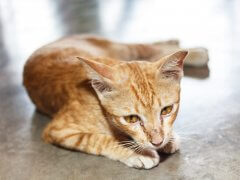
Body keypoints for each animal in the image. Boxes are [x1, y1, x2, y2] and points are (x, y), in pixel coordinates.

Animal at [23, 34, 208, 169]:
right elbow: (96, 139)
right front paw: (135, 152)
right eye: (132, 119)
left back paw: (192, 51)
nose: (157, 142)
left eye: (166, 110)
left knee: (144, 46)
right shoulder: (58, 130)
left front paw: (168, 139)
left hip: (122, 49)